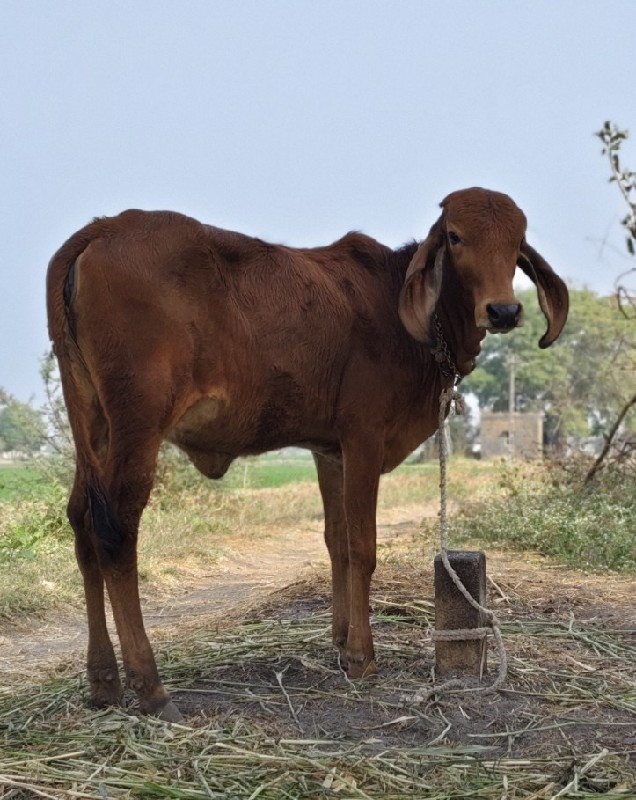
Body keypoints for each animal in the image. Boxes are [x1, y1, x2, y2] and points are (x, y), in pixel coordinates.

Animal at [47, 188, 568, 720]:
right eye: (457, 237)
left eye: (517, 242)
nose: (503, 311)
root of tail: (100, 230)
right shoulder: (363, 439)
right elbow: (362, 548)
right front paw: (362, 656)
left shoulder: (330, 451)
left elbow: (335, 542)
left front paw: (340, 641)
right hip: (138, 423)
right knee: (115, 531)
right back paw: (149, 686)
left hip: (91, 421)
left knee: (82, 524)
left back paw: (103, 681)